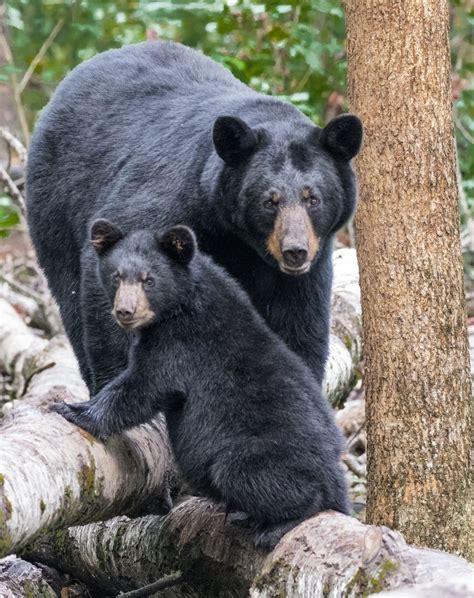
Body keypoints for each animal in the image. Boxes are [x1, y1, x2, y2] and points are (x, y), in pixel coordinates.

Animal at [26, 39, 362, 392]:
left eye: (313, 198)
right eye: (269, 201)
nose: (295, 251)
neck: (237, 237)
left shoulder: (307, 267)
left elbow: (298, 323)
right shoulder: (167, 200)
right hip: (55, 204)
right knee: (70, 293)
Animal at [51, 223, 348, 552]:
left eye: (149, 280)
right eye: (116, 276)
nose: (125, 311)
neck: (184, 301)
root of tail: (335, 476)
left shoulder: (181, 344)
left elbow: (142, 387)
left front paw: (73, 409)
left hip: (257, 456)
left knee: (250, 476)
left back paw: (276, 523)